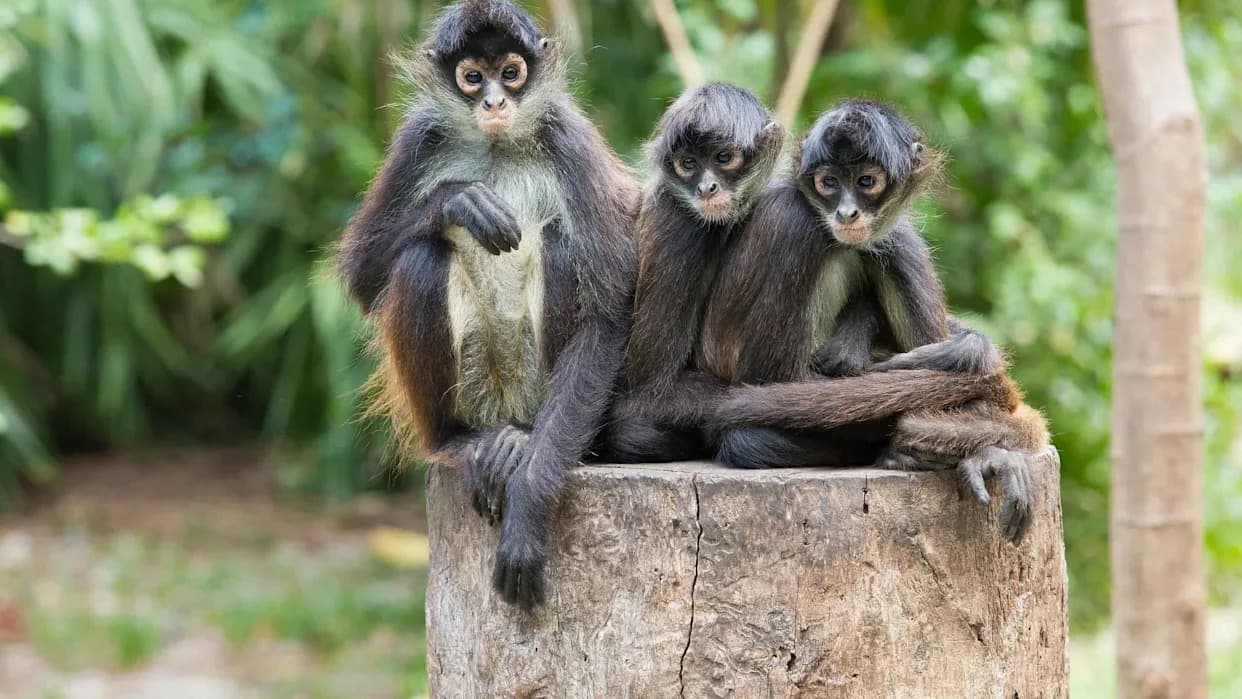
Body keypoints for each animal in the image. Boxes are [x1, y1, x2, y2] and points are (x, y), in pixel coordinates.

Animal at [336, 0, 639, 608]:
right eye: (473, 76)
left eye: (512, 72)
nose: (494, 102)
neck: (498, 144)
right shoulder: (418, 136)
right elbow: (362, 276)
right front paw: (456, 201)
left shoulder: (566, 134)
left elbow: (607, 315)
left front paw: (527, 512)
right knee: (419, 258)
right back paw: (458, 442)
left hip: (533, 386)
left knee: (561, 244)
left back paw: (519, 441)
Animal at [700, 100, 1046, 541]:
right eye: (829, 182)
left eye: (866, 181)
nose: (846, 212)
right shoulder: (794, 221)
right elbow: (765, 381)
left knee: (894, 241)